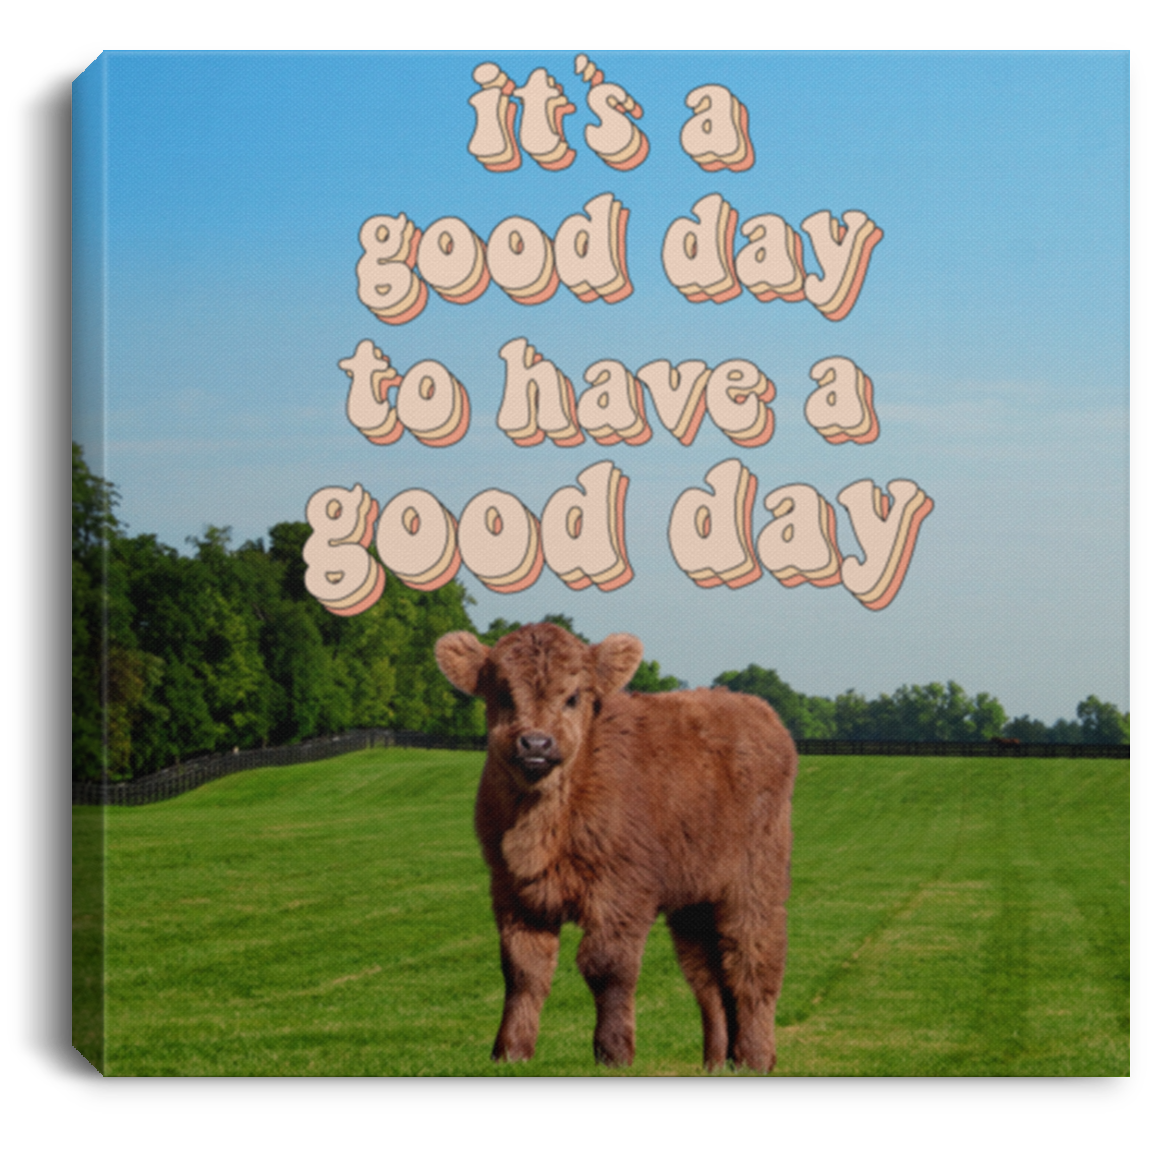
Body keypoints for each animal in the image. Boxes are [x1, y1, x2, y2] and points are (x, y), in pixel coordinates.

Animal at [434, 622, 796, 1072]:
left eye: (574, 696)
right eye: (501, 694)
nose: (535, 743)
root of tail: (756, 709)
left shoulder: (621, 894)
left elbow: (607, 967)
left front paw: (614, 1052)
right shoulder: (514, 894)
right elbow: (523, 971)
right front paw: (510, 1051)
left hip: (754, 884)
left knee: (754, 962)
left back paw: (755, 1057)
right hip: (694, 902)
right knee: (709, 978)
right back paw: (716, 1061)